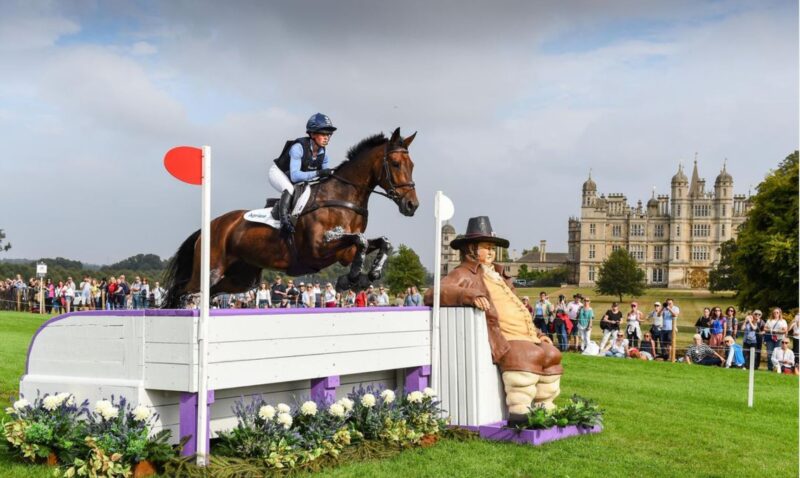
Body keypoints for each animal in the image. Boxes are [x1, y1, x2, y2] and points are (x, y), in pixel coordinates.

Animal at [166, 127, 422, 308]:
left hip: (242, 278)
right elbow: (361, 241)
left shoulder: (344, 251)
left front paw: (369, 275)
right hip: (210, 270)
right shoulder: (317, 249)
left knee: (208, 292)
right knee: (182, 290)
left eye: (412, 165)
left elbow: (378, 242)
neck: (343, 196)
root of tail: (210, 226)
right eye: (395, 163)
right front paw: (352, 279)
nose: (412, 205)